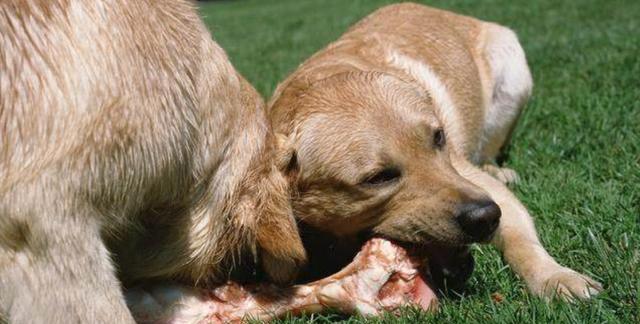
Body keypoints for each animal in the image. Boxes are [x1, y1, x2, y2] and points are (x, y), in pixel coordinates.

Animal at [268, 3, 604, 302]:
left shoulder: (478, 183)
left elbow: (520, 238)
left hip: (512, 73)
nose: (486, 216)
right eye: (378, 178)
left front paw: (556, 278)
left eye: (439, 138)